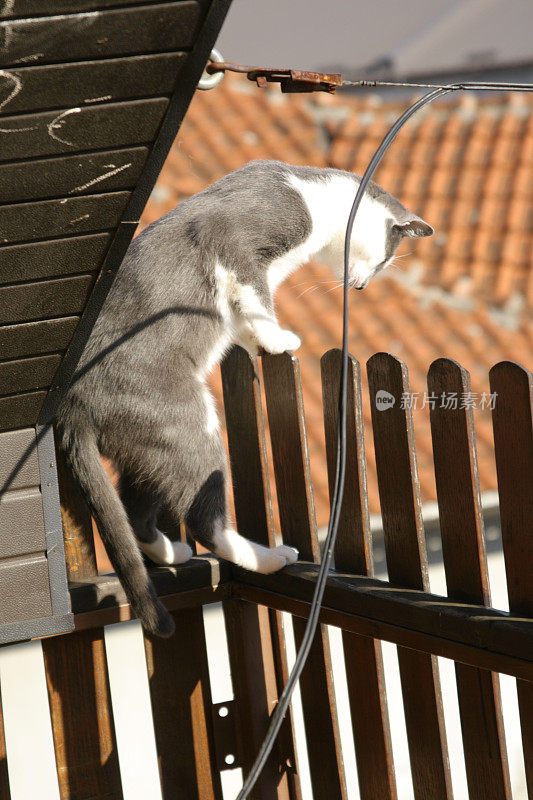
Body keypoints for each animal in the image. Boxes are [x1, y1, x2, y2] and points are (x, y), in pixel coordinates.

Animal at [57, 161, 432, 636]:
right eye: (385, 259)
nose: (363, 287)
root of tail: (74, 403)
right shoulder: (236, 238)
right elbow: (256, 297)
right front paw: (279, 339)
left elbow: (249, 311)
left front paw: (260, 342)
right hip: (187, 423)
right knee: (205, 520)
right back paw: (271, 557)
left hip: (147, 447)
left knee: (137, 510)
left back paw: (172, 552)